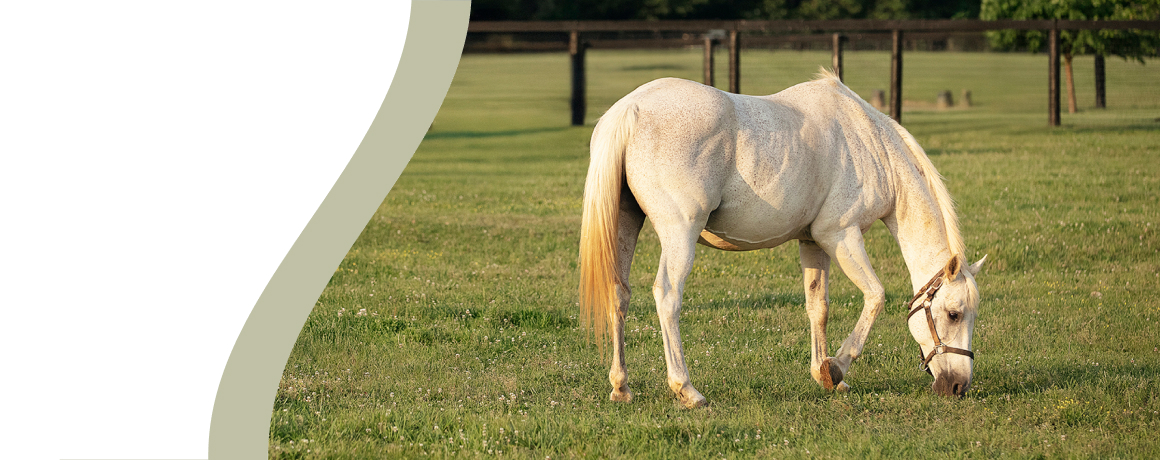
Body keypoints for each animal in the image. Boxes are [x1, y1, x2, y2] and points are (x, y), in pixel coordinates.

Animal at [578, 70, 986, 409]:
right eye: (953, 313)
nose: (958, 386)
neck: (869, 144)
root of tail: (630, 110)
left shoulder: (814, 243)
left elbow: (818, 306)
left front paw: (825, 374)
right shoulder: (840, 235)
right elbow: (875, 296)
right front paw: (837, 367)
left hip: (626, 224)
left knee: (619, 294)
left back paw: (621, 387)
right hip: (680, 233)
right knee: (667, 296)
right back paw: (687, 389)